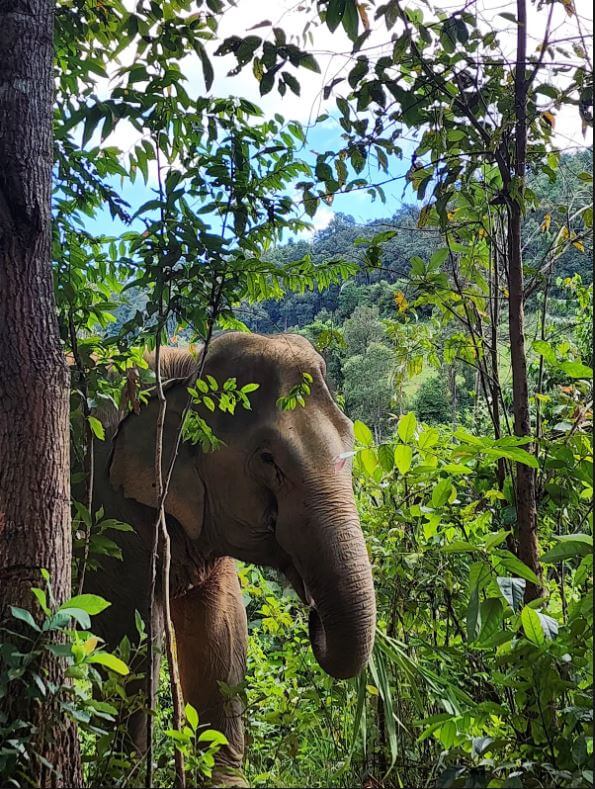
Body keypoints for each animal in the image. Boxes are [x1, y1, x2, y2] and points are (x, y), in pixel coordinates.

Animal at [86, 331, 376, 786]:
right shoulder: (113, 515)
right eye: (267, 459)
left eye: (350, 437)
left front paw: (224, 780)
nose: (313, 615)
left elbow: (221, 625)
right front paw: (120, 776)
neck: (182, 369)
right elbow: (127, 639)